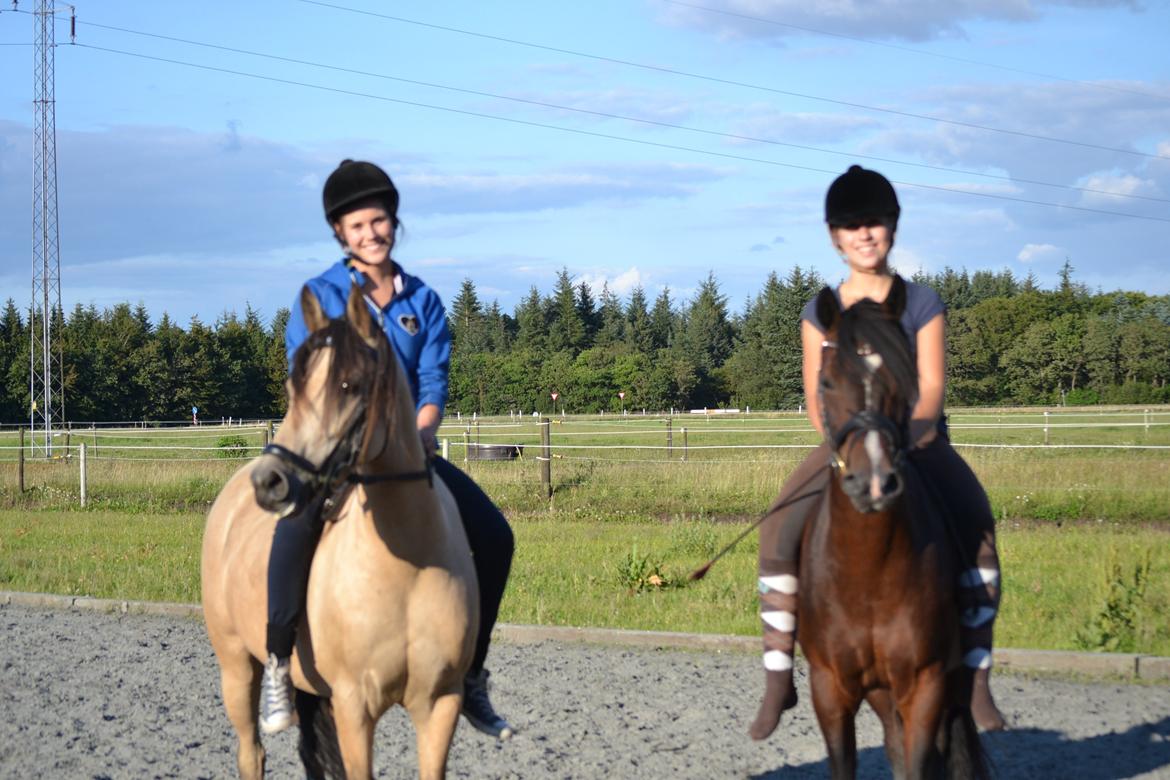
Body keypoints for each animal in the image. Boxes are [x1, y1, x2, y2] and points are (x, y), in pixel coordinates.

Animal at [202, 286, 479, 780]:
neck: (406, 564)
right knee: (251, 752)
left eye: (349, 386)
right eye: (293, 387)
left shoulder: (440, 703)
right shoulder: (355, 706)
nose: (270, 482)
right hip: (236, 665)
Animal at [795, 281, 987, 780]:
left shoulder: (924, 685)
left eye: (904, 379)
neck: (866, 570)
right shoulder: (830, 688)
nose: (874, 483)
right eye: (826, 382)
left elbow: (923, 761)